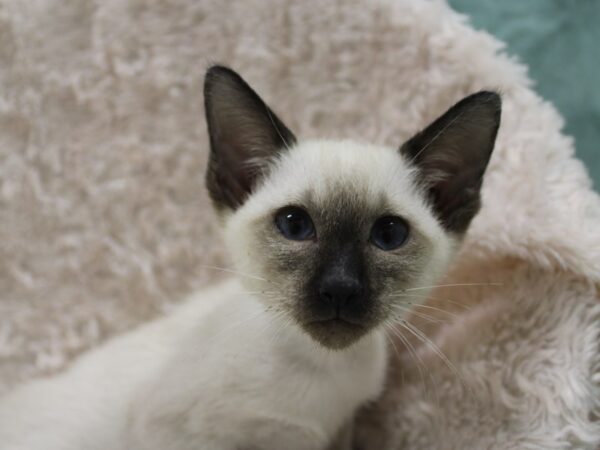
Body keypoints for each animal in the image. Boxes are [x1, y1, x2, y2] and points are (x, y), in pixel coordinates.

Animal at [0, 67, 500, 450]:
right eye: (295, 225)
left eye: (389, 234)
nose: (340, 287)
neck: (320, 371)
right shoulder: (173, 434)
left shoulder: (338, 432)